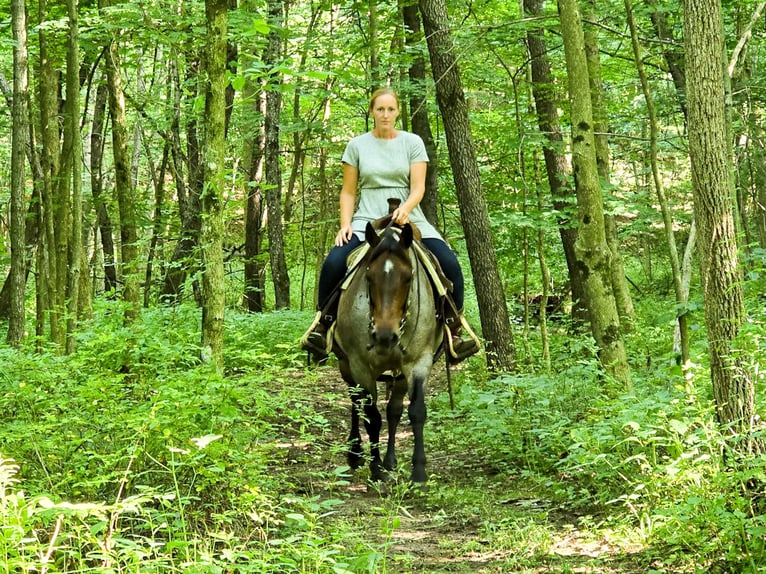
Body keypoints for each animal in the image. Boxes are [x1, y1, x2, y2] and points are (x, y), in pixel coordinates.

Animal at [333, 221, 443, 484]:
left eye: (408, 277)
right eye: (368, 276)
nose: (384, 336)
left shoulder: (419, 362)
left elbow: (416, 411)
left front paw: (418, 472)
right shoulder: (360, 365)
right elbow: (372, 417)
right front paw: (376, 469)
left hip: (400, 372)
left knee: (394, 409)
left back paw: (391, 460)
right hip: (345, 365)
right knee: (355, 403)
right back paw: (355, 454)